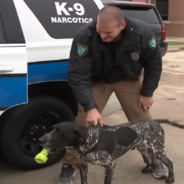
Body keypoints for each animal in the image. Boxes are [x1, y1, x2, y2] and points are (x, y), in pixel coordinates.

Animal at [38, 119, 184, 184]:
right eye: (51, 129)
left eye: (60, 132)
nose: (40, 139)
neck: (90, 140)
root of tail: (154, 121)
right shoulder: (83, 165)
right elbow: (84, 181)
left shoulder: (110, 165)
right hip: (143, 147)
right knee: (147, 157)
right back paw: (148, 168)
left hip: (157, 148)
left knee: (169, 162)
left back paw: (171, 179)